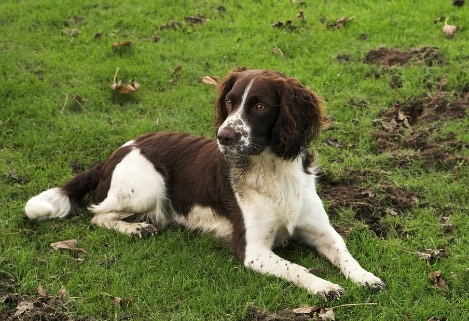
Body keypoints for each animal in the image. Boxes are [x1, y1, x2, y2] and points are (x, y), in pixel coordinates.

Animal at [23, 69, 386, 298]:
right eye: (229, 101)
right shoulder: (252, 249)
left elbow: (345, 254)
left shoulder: (322, 231)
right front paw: (324, 286)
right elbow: (297, 268)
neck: (270, 167)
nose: (223, 136)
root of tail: (118, 151)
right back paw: (136, 228)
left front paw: (366, 277)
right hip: (147, 185)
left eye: (259, 105)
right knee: (98, 215)